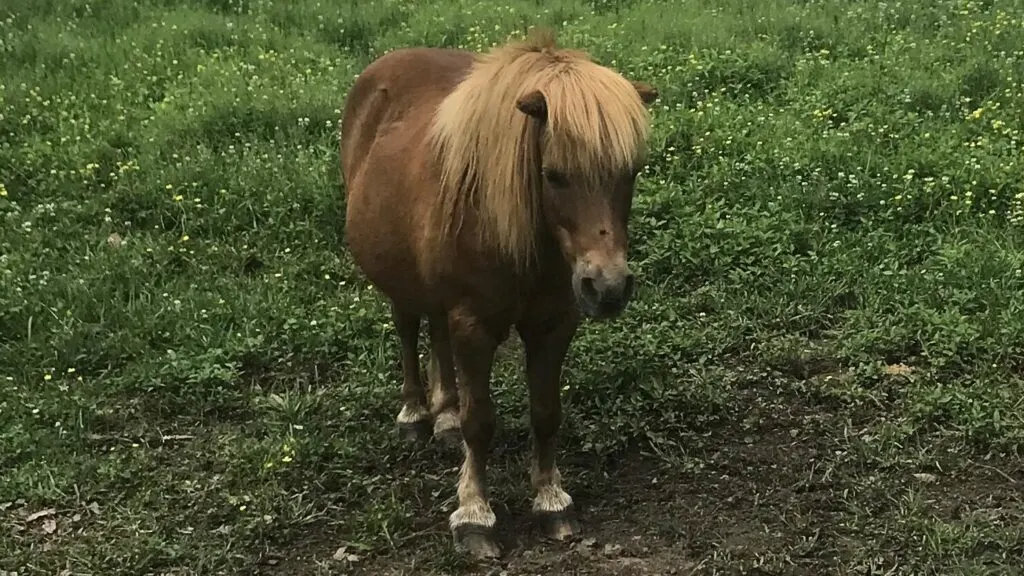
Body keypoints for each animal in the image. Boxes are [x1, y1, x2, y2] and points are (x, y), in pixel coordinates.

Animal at [335, 26, 655, 557]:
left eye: (630, 172)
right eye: (554, 175)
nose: (607, 287)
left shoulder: (554, 323)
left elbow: (546, 412)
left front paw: (551, 501)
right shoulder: (475, 324)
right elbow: (480, 421)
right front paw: (474, 514)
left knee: (436, 335)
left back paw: (443, 415)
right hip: (401, 281)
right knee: (408, 328)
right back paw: (416, 414)